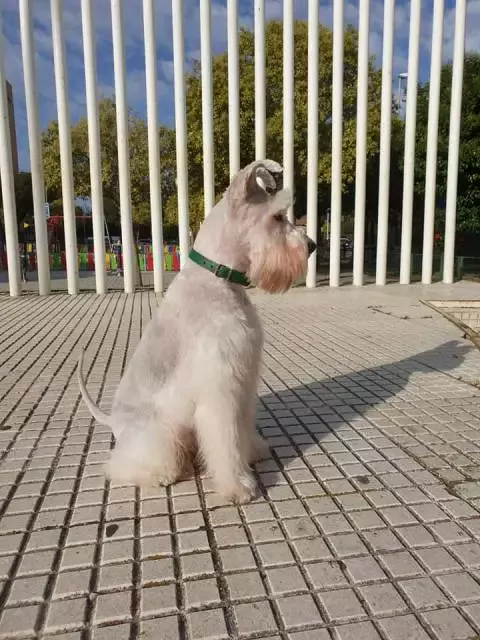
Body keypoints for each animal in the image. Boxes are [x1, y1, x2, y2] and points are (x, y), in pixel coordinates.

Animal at [77, 158, 316, 502]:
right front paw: (238, 486)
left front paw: (252, 451)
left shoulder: (243, 379)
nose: (311, 245)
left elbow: (242, 427)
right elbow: (226, 440)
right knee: (120, 465)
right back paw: (159, 473)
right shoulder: (219, 389)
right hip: (157, 435)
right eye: (277, 216)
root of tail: (113, 421)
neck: (219, 280)